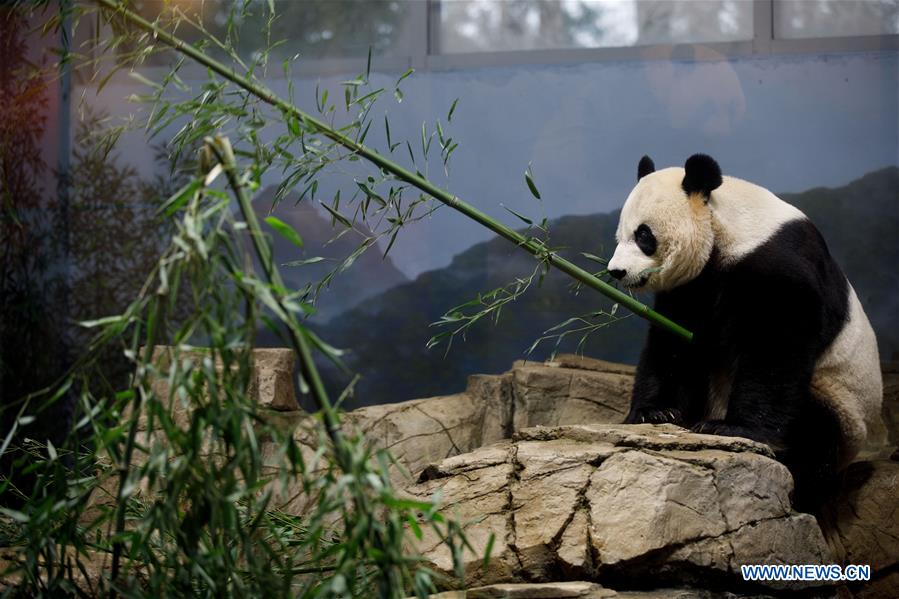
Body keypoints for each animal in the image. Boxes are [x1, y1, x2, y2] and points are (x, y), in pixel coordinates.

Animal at [607, 154, 883, 509]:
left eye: (644, 236)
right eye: (621, 235)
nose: (616, 272)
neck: (729, 227)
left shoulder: (777, 264)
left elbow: (775, 346)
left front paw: (731, 428)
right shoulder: (692, 287)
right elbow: (673, 344)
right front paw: (654, 411)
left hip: (843, 401)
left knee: (816, 433)